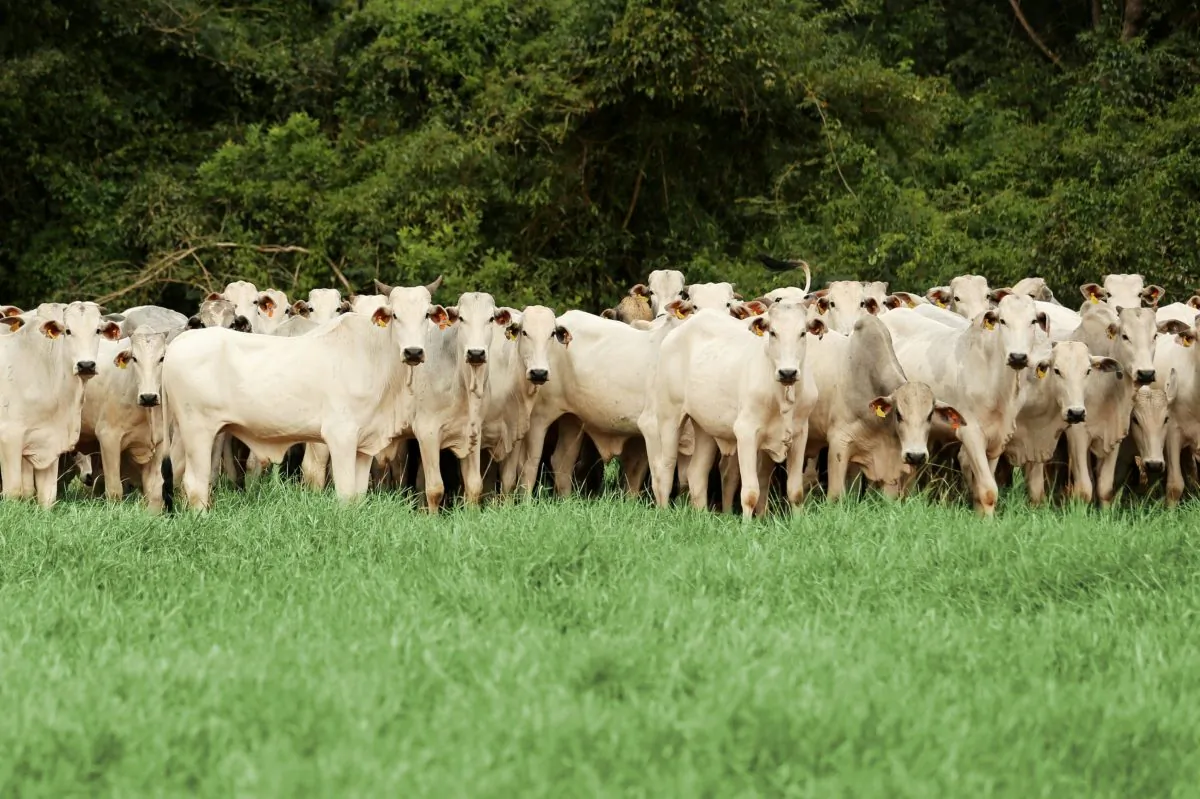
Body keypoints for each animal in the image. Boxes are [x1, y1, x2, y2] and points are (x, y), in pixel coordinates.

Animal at [0, 302, 121, 506]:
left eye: (97, 330)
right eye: (68, 331)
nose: (86, 365)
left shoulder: (50, 443)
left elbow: (47, 496)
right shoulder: (9, 439)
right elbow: (14, 492)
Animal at [162, 285, 447, 509]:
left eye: (426, 315)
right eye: (395, 315)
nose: (413, 352)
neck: (373, 355)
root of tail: (177, 345)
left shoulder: (364, 446)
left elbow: (358, 496)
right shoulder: (340, 437)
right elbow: (345, 494)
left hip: (184, 434)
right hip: (198, 431)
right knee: (195, 484)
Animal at [641, 301, 825, 518]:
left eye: (803, 333)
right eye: (773, 332)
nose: (787, 372)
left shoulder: (799, 434)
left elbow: (795, 491)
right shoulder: (746, 432)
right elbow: (750, 493)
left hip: (705, 427)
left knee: (696, 474)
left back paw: (702, 517)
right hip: (669, 418)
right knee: (664, 470)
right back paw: (663, 514)